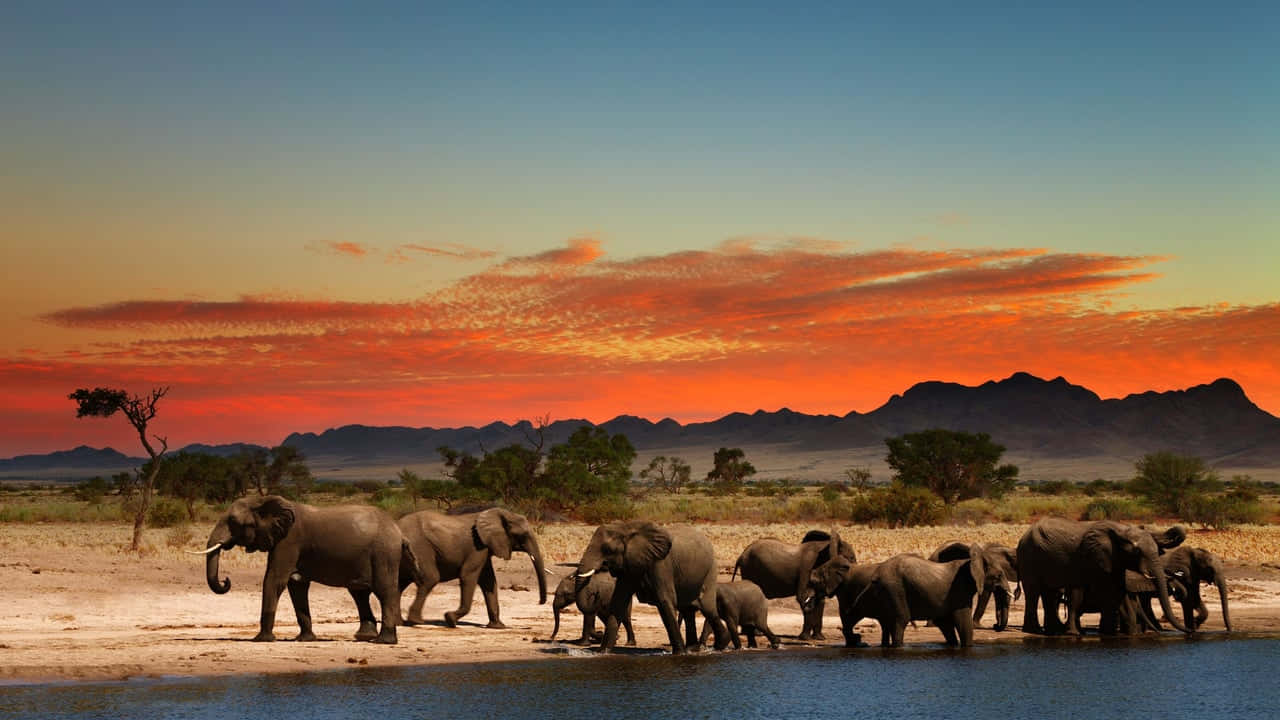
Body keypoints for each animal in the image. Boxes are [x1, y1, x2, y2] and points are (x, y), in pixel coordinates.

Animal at [198, 495, 421, 644]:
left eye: (233, 522)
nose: (226, 580)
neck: (263, 501)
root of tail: (399, 532)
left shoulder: (289, 541)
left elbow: (274, 580)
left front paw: (261, 639)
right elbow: (296, 585)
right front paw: (305, 639)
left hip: (384, 552)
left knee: (384, 591)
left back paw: (384, 641)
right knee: (359, 593)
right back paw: (363, 637)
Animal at [398, 507, 547, 628]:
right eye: (522, 535)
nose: (540, 602)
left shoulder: (485, 548)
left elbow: (489, 581)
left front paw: (498, 627)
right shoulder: (477, 548)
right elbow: (468, 575)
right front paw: (450, 619)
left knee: (399, 583)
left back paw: (400, 622)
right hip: (419, 547)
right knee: (430, 579)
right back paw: (416, 621)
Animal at [573, 520, 728, 654]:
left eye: (607, 549)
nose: (596, 595)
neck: (627, 527)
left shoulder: (660, 564)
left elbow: (665, 602)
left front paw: (680, 654)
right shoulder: (628, 565)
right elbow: (618, 602)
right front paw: (602, 652)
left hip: (710, 571)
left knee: (708, 608)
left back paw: (719, 645)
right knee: (688, 610)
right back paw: (693, 648)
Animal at [848, 550, 986, 647]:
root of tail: (876, 575)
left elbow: (944, 621)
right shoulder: (960, 591)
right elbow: (962, 621)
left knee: (888, 621)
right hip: (894, 589)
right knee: (900, 620)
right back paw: (898, 646)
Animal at [1017, 517, 1188, 636]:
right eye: (1137, 552)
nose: (1190, 631)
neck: (1121, 529)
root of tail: (1023, 537)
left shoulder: (1114, 560)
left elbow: (1119, 590)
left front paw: (1122, 634)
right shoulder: (1097, 558)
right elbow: (1109, 590)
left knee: (1049, 593)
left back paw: (1053, 631)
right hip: (1028, 557)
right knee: (1033, 592)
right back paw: (1034, 631)